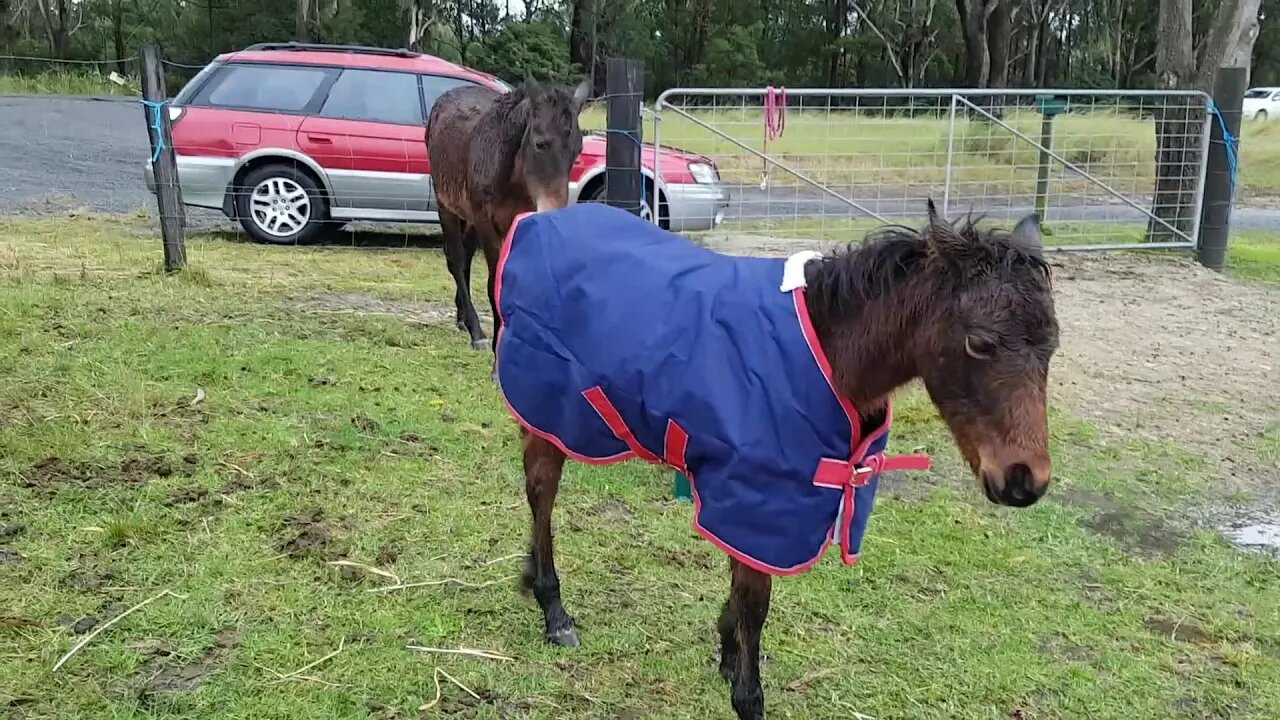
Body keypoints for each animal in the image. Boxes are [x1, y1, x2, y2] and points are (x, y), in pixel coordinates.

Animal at [427, 77, 591, 353]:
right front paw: (496, 344)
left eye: (577, 150)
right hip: (446, 206)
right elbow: (494, 282)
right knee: (456, 261)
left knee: (466, 258)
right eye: (540, 143)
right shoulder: (487, 225)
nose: (553, 208)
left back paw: (462, 319)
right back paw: (475, 331)